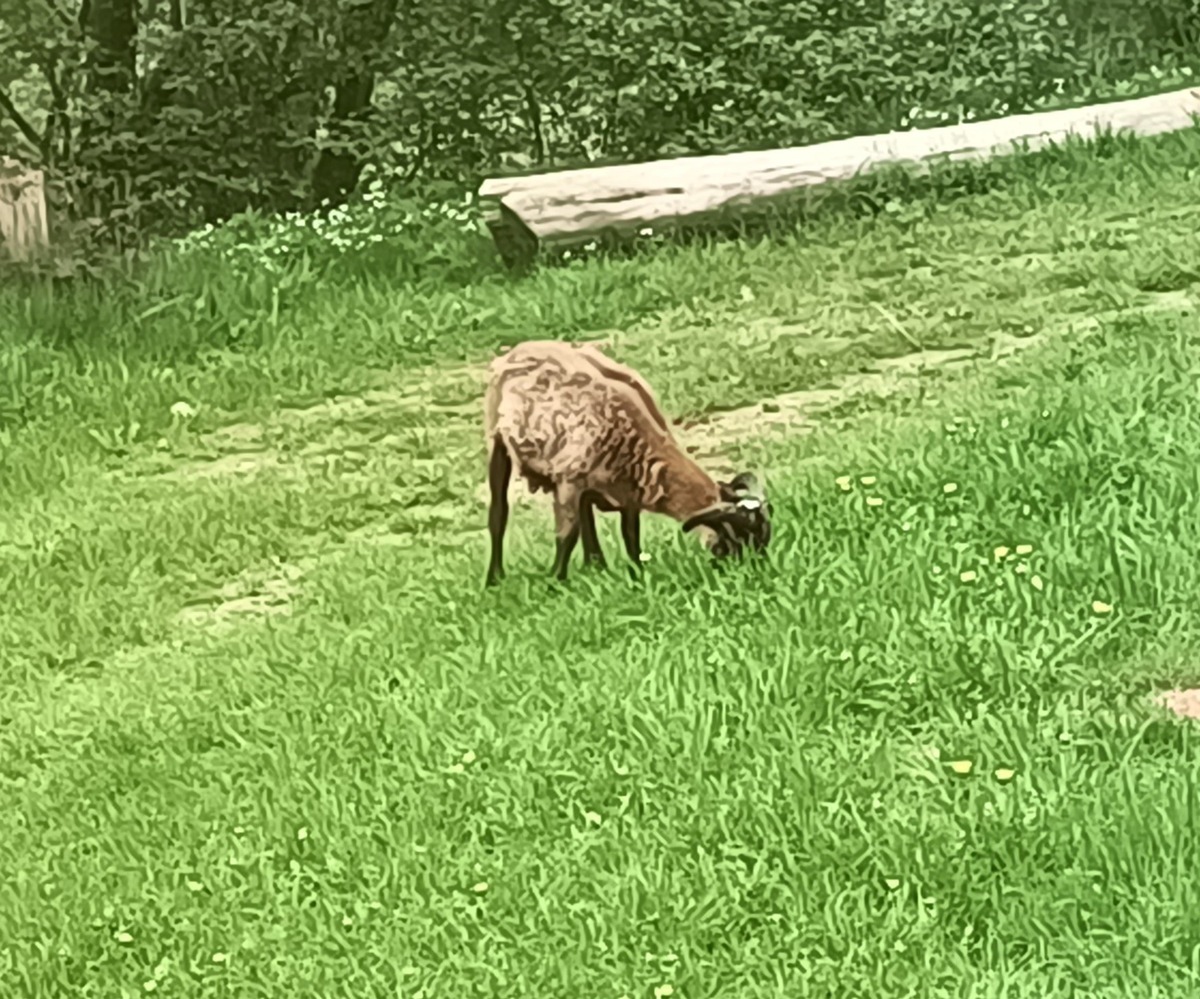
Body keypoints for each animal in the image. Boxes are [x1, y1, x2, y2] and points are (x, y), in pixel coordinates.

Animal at [482, 338, 772, 585]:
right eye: (740, 539)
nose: (753, 573)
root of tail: (516, 350)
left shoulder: (628, 490)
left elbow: (630, 536)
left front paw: (637, 576)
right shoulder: (570, 481)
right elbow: (567, 535)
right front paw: (555, 582)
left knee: (587, 518)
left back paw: (596, 566)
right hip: (498, 442)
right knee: (499, 514)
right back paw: (494, 579)